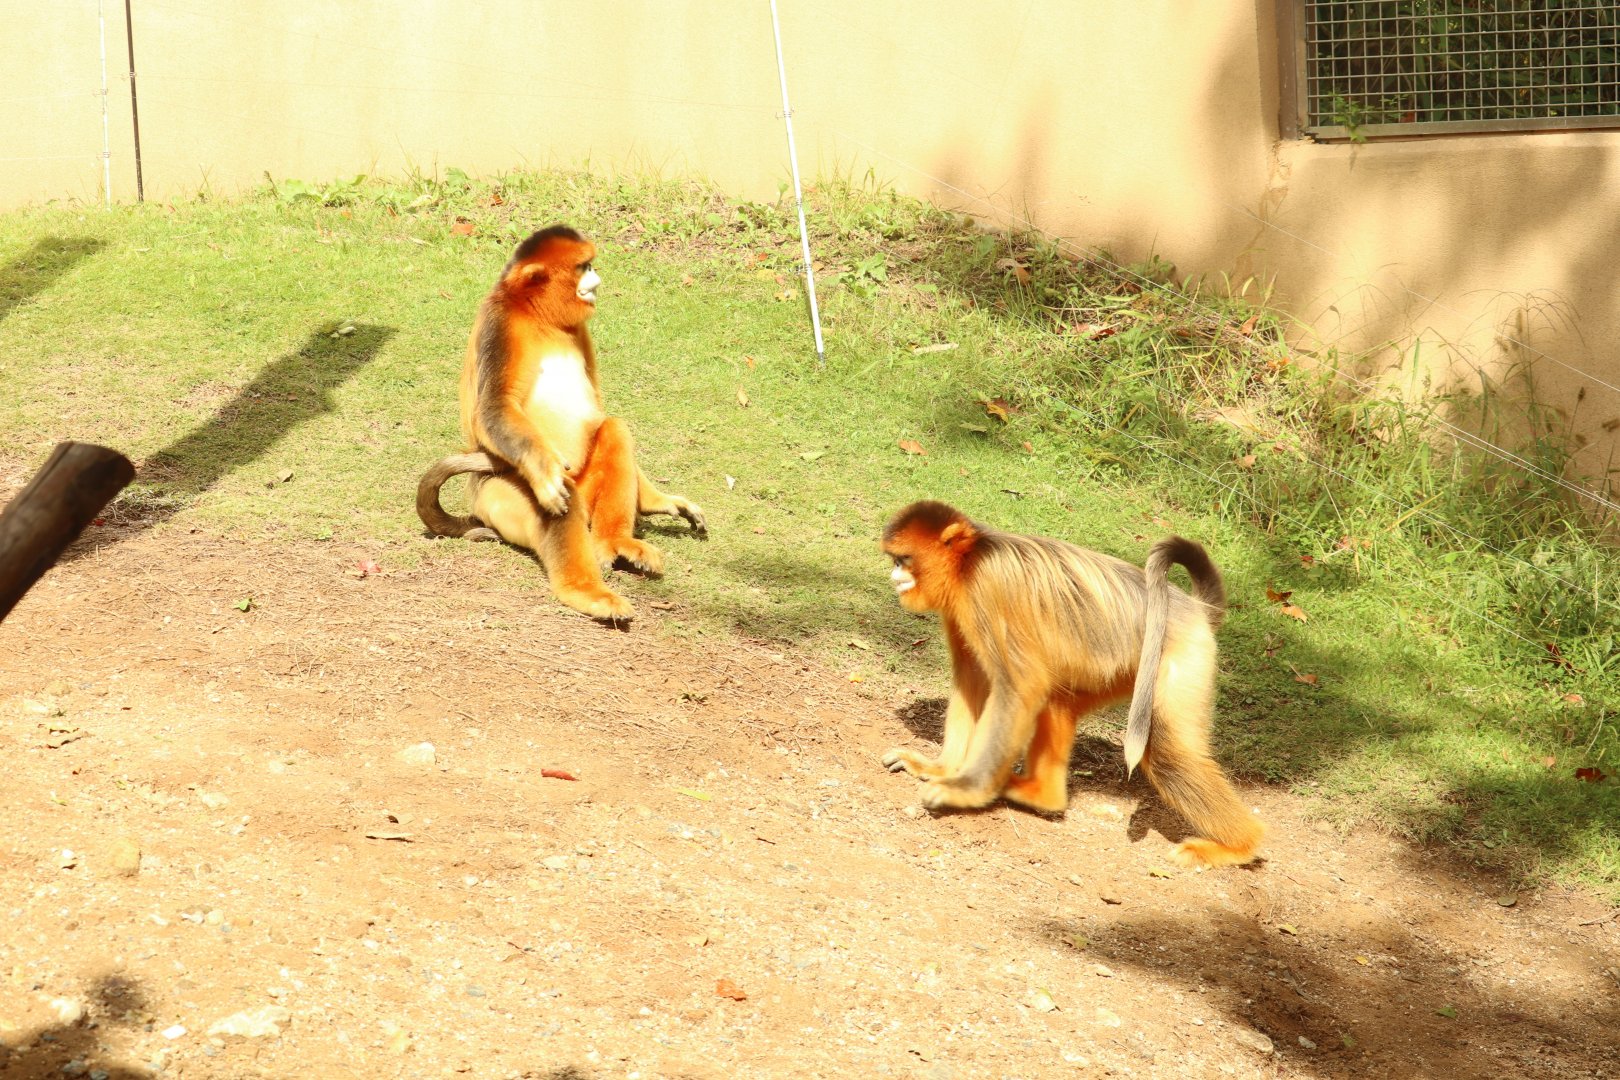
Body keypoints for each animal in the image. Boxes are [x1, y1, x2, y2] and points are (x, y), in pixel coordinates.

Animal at [416, 225, 704, 622]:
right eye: (584, 267)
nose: (596, 281)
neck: (541, 319)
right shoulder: (500, 321)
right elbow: (495, 408)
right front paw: (545, 472)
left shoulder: (580, 332)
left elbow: (599, 410)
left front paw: (661, 501)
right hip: (499, 494)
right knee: (563, 495)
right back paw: (586, 592)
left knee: (614, 429)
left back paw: (616, 544)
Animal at [879, 500, 1263, 869]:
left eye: (904, 560)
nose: (895, 577)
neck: (973, 559)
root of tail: (1193, 608)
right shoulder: (961, 607)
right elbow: (973, 681)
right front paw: (941, 769)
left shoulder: (989, 587)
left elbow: (1020, 688)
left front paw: (966, 791)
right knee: (1056, 702)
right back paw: (1041, 796)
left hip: (1181, 654)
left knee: (1167, 751)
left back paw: (1239, 847)